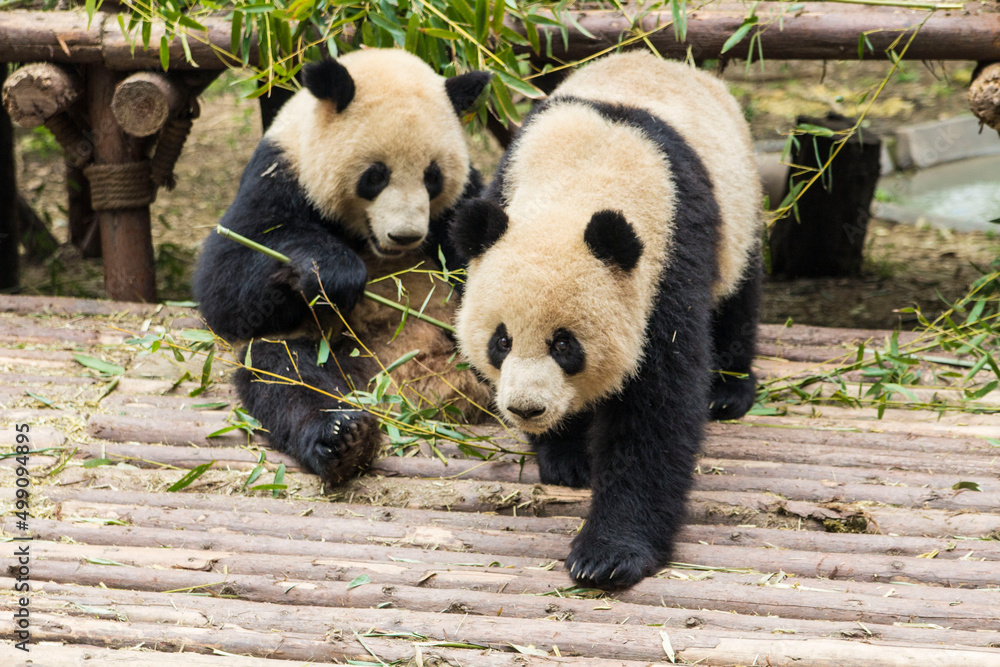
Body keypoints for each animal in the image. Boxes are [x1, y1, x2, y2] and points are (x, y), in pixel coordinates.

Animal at [194, 49, 493, 484]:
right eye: (376, 175)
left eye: (432, 176)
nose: (405, 236)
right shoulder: (281, 174)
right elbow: (225, 278)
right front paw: (335, 273)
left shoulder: (463, 201)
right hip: (336, 355)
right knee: (286, 374)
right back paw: (344, 438)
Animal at [450, 51, 762, 590]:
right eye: (500, 341)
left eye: (565, 345)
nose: (526, 409)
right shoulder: (506, 184)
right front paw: (565, 457)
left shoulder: (669, 262)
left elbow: (656, 409)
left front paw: (608, 555)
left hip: (738, 210)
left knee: (737, 295)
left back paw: (729, 390)